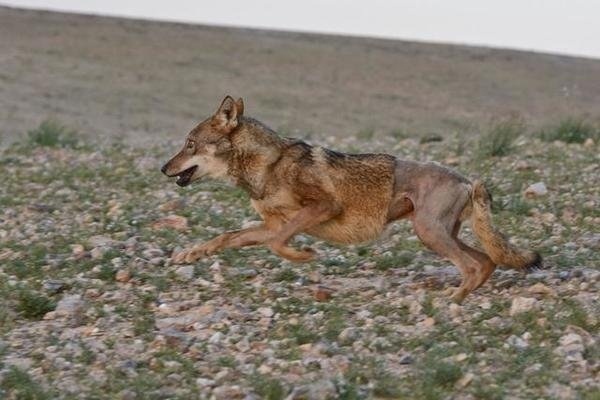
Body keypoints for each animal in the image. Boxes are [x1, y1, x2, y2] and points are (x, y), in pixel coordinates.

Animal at [162, 97, 540, 304]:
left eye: (190, 144)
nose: (163, 168)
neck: (266, 165)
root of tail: (468, 180)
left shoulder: (322, 207)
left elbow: (278, 243)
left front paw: (305, 255)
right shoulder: (272, 223)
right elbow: (228, 237)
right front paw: (189, 254)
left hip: (429, 233)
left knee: (473, 265)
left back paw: (455, 299)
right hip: (439, 234)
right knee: (486, 261)